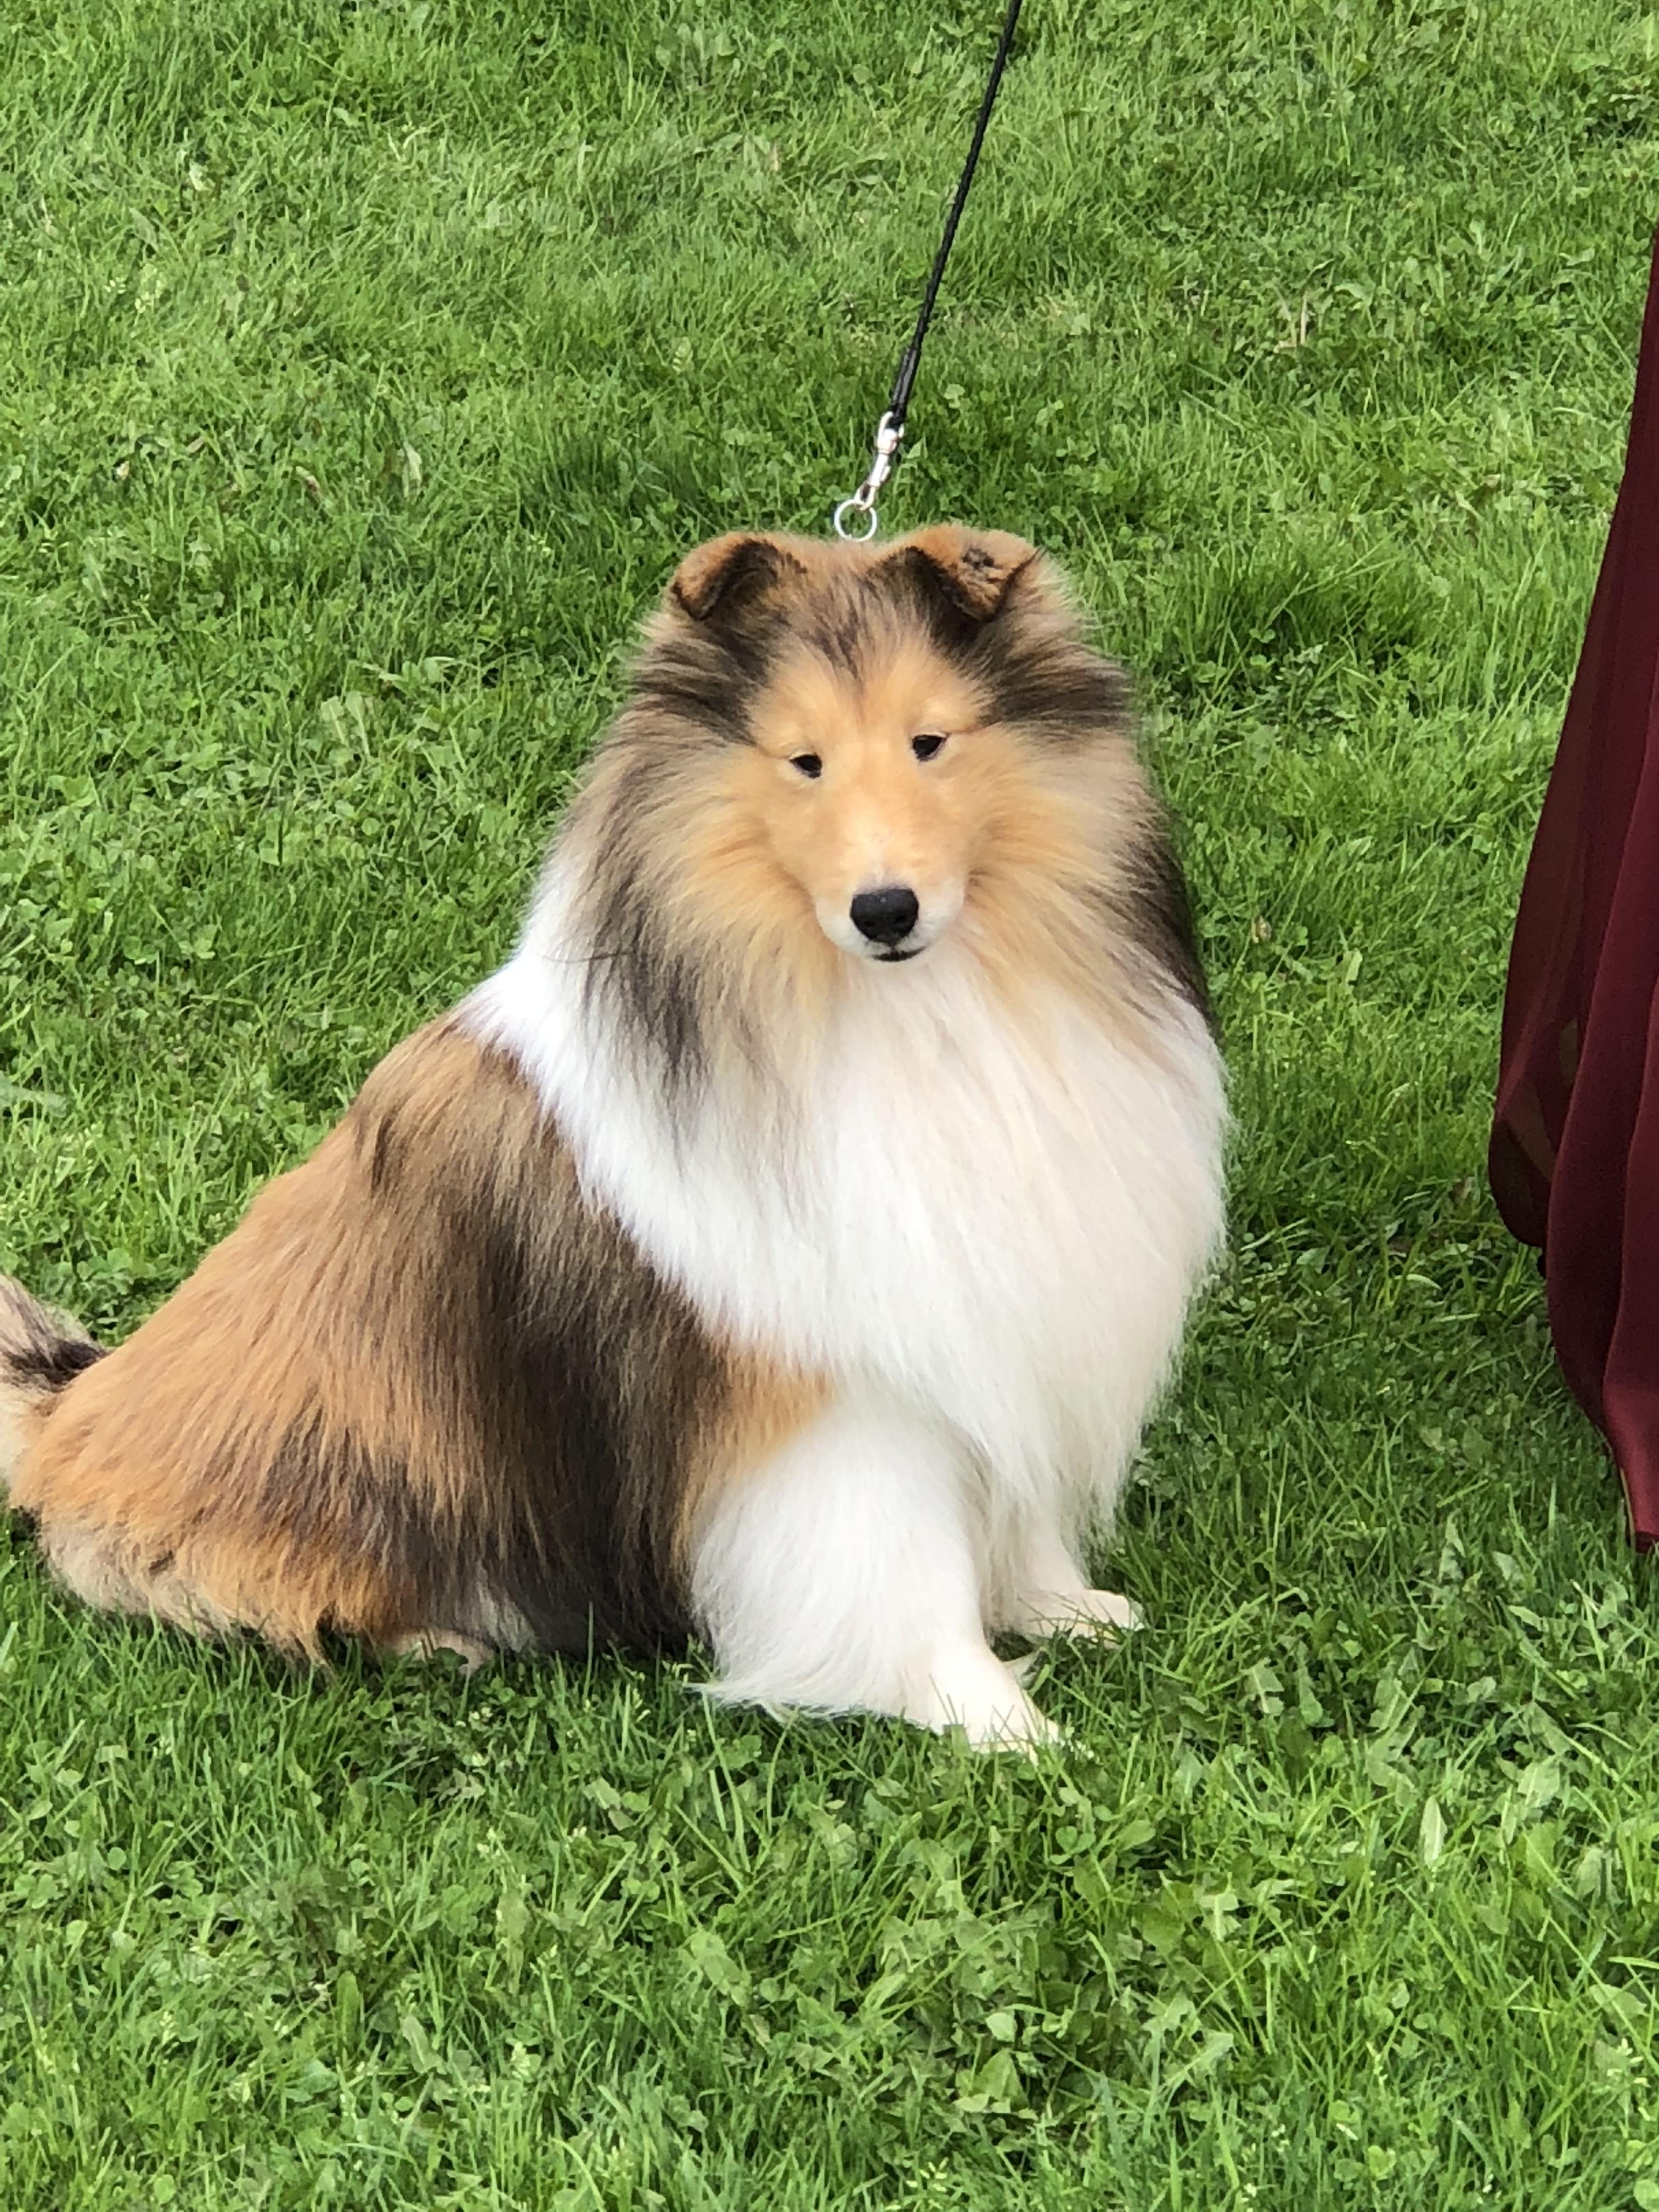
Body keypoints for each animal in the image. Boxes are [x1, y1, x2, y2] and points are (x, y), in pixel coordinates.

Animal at [0, 526, 1225, 1748]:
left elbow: (1008, 1505)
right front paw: (992, 1718)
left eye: (930, 742)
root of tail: (73, 1403)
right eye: (803, 762)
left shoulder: (995, 1323)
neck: (912, 1013)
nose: (885, 912)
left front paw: (1064, 1609)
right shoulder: (832, 1391)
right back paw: (439, 1640)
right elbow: (899, 1566)